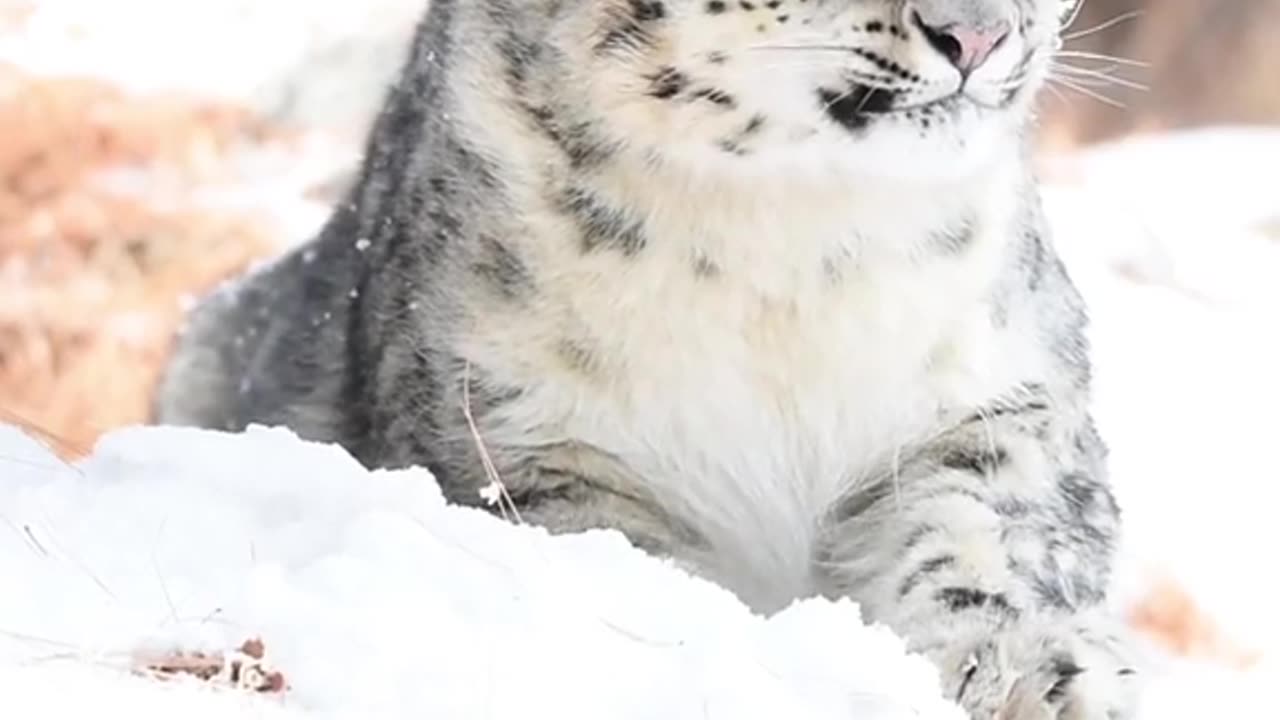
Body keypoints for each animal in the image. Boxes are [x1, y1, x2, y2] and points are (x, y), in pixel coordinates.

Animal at [152, 2, 1141, 712]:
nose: (977, 34)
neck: (791, 247)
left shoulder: (994, 400)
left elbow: (997, 538)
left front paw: (1037, 674)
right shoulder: (528, 446)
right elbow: (628, 570)